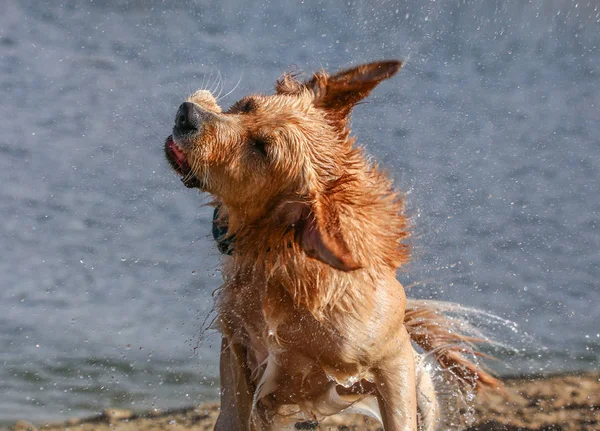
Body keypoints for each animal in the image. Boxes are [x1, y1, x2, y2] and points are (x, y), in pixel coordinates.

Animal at [164, 61, 496, 431]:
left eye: (262, 148)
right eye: (246, 105)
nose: (187, 114)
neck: (283, 257)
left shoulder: (391, 355)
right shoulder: (238, 352)